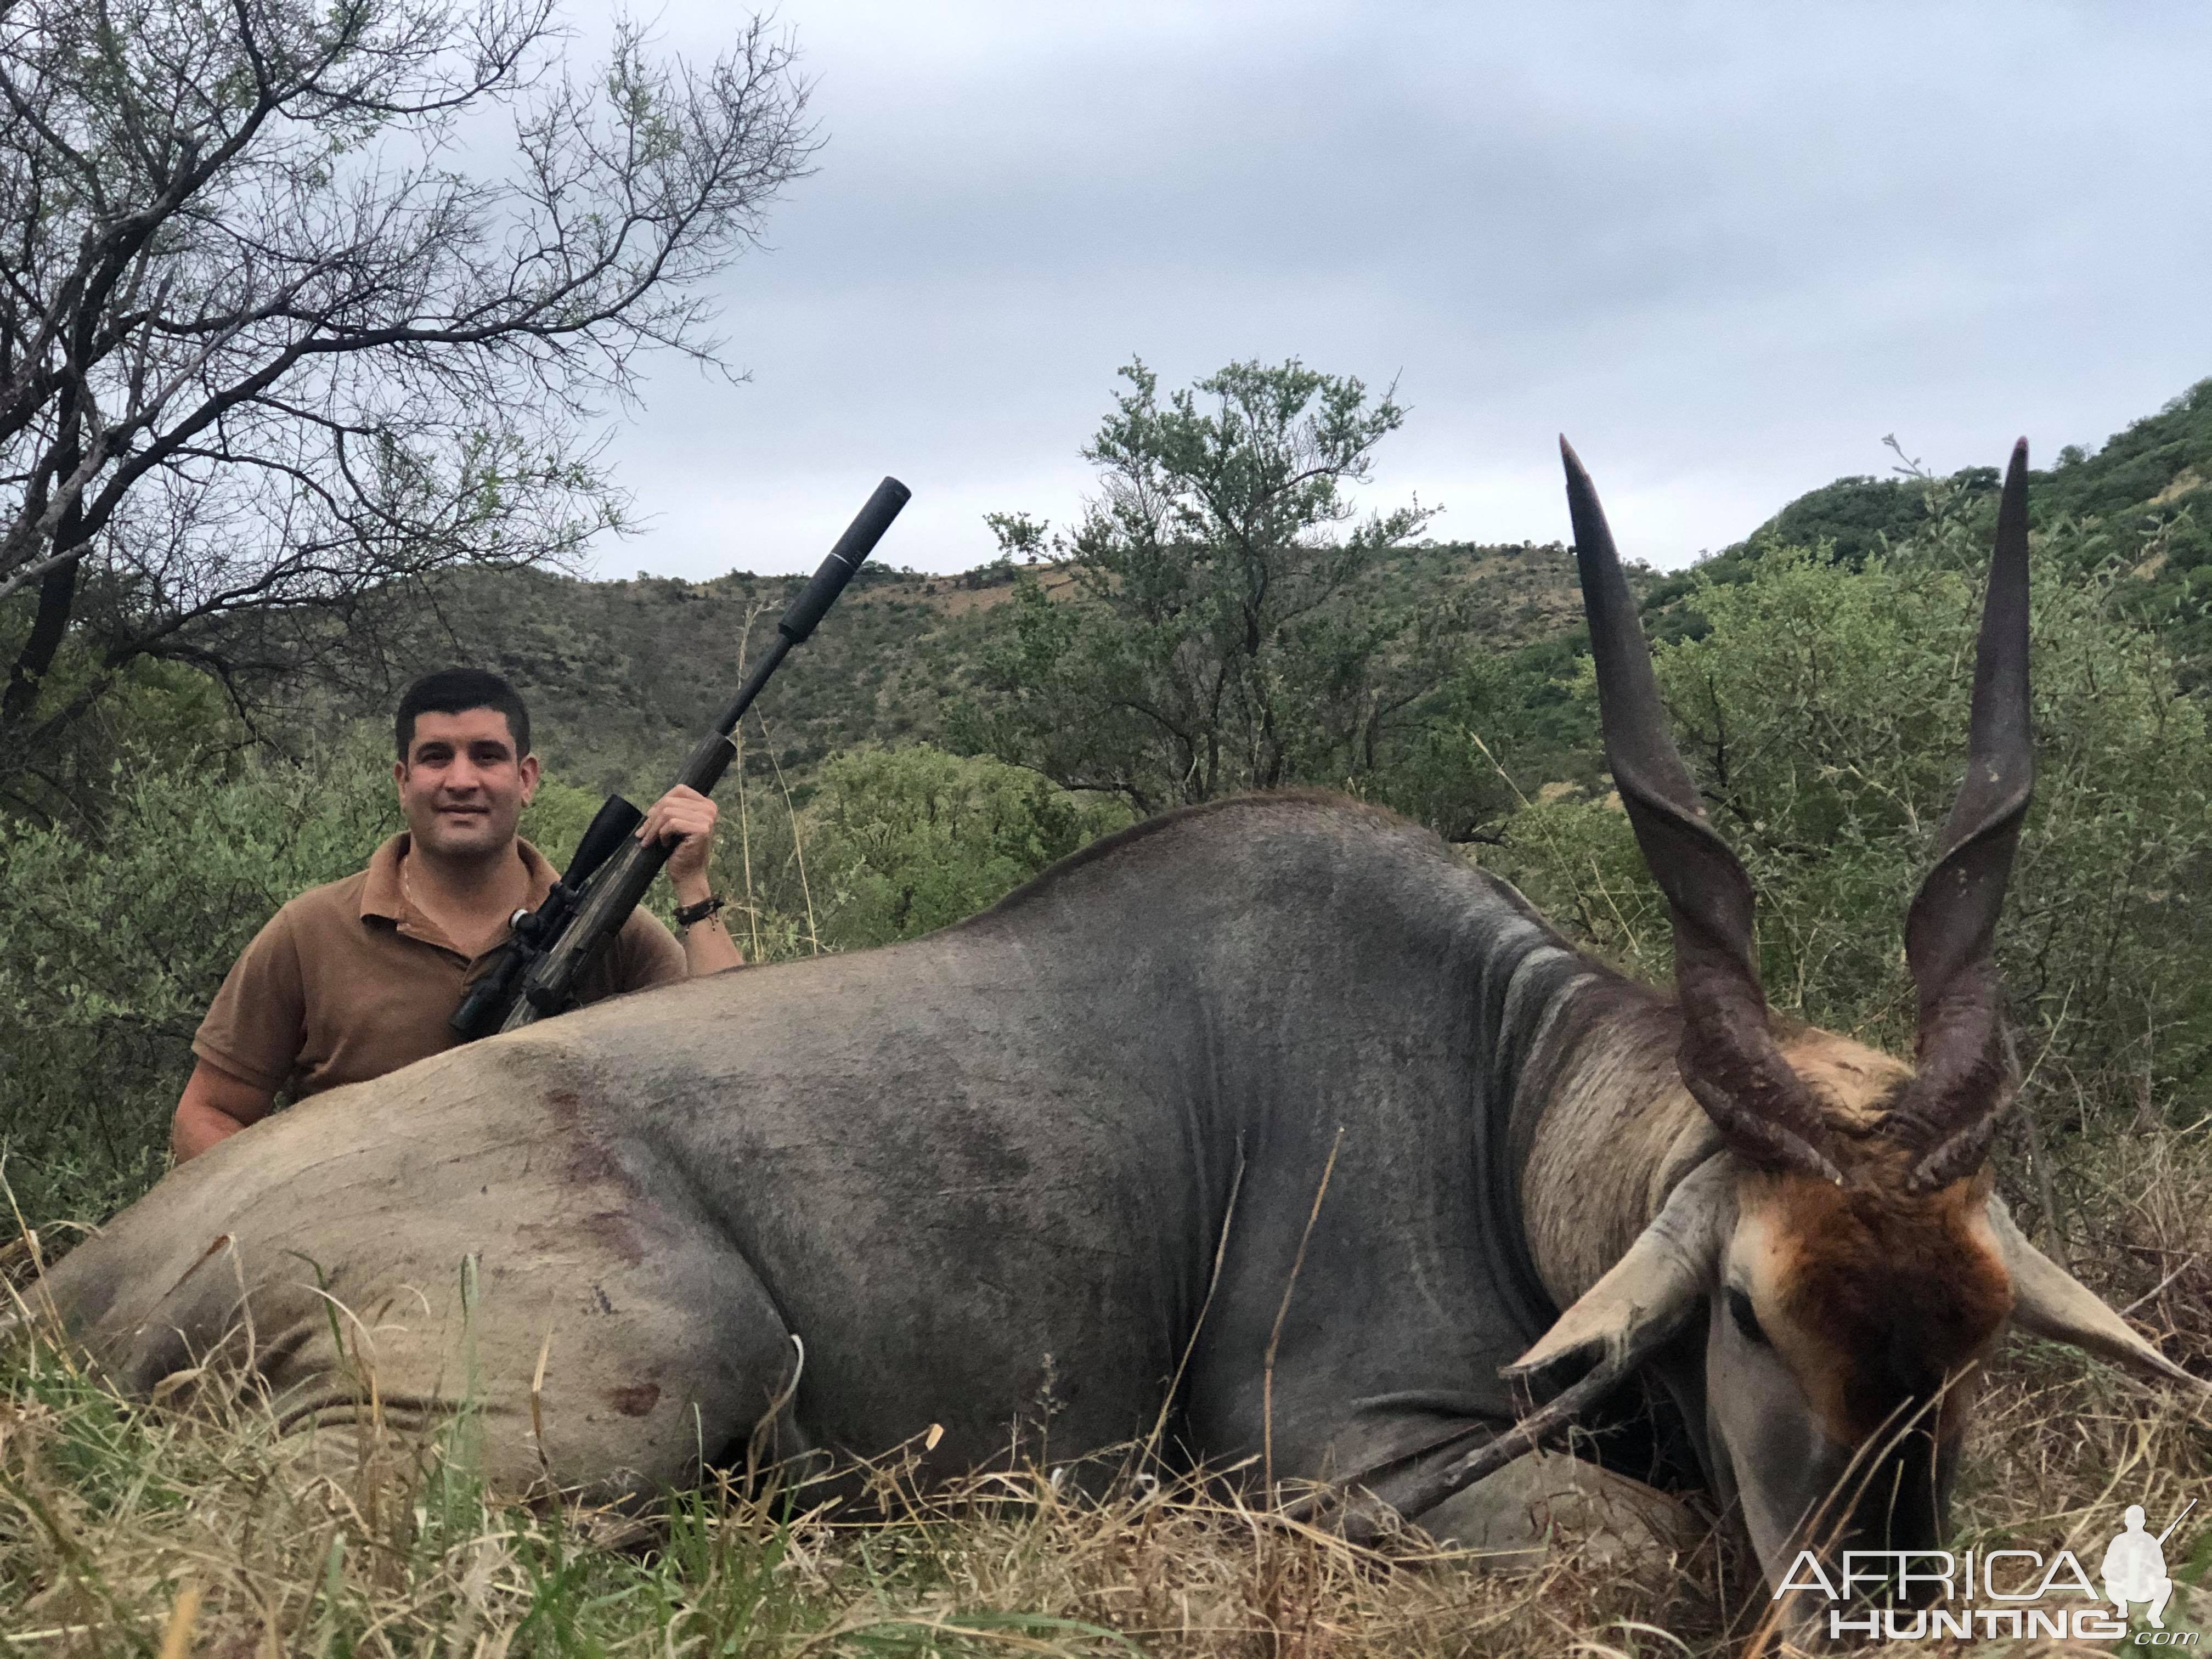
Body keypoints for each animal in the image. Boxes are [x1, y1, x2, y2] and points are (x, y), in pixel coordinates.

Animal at [21, 436, 2194, 1619]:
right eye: (1745, 1307)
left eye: (1974, 1330)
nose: (1881, 1594)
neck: (1501, 1102)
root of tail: (80, 1283)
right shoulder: (1338, 1454)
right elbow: (1641, 1556)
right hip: (659, 1363)